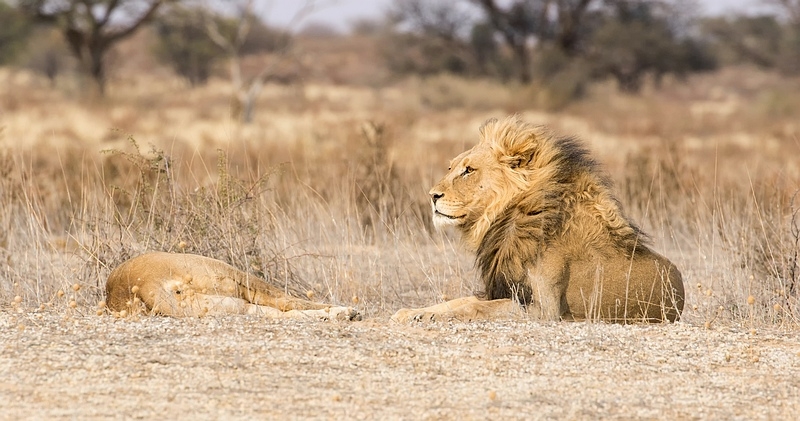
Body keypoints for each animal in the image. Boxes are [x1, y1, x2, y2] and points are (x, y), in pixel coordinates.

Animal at [390, 115, 684, 322]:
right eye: (451, 167)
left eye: (469, 170)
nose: (432, 195)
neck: (508, 218)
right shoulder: (503, 289)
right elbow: (460, 301)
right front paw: (410, 312)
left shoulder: (545, 309)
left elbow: (476, 308)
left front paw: (429, 315)